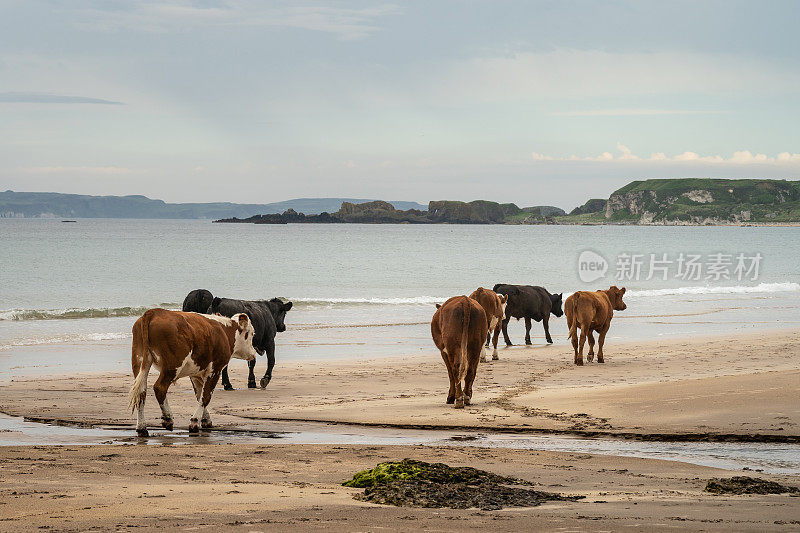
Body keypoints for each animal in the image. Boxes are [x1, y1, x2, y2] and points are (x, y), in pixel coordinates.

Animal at [129, 308, 256, 436]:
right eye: (251, 333)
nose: (253, 353)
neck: (224, 331)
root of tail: (154, 312)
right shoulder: (215, 370)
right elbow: (206, 396)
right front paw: (195, 422)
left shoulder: (196, 374)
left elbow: (199, 394)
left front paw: (205, 420)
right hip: (172, 365)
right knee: (159, 387)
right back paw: (168, 419)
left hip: (140, 362)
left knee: (141, 392)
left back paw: (142, 428)